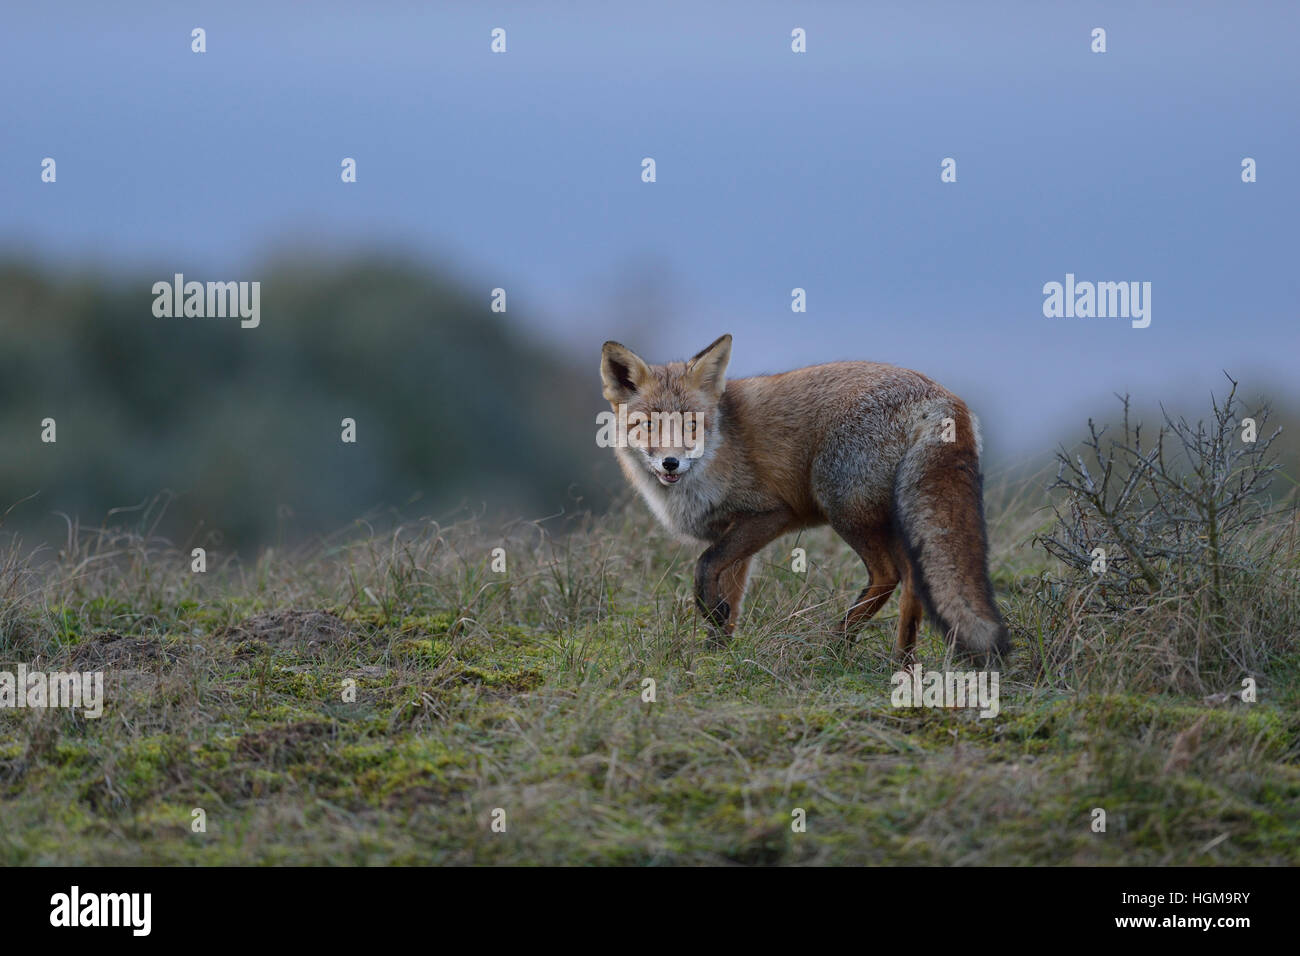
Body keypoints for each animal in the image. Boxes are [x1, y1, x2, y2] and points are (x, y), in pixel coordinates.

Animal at [600, 335, 1013, 665]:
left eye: (692, 425)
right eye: (647, 425)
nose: (671, 462)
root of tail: (942, 397)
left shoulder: (768, 514)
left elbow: (705, 567)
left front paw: (713, 622)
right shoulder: (734, 536)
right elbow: (727, 594)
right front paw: (717, 653)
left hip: (844, 506)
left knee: (888, 576)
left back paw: (835, 644)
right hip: (892, 515)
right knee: (913, 580)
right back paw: (902, 660)